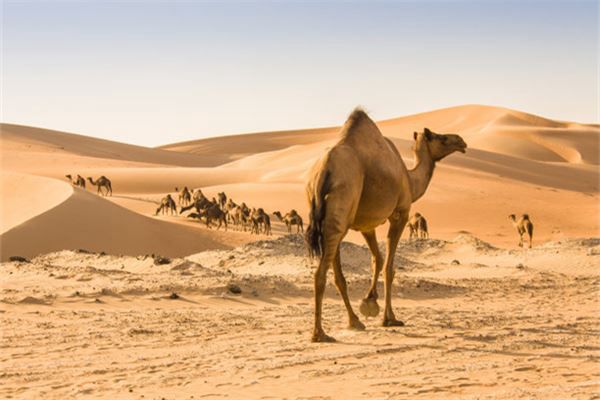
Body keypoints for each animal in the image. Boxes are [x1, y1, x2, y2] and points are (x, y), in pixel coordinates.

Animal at [304, 109, 468, 344]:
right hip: (341, 208)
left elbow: (377, 259)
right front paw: (389, 318)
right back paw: (320, 333)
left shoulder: (366, 224)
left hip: (333, 219)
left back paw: (354, 322)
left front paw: (369, 302)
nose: (461, 141)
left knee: (337, 274)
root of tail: (323, 172)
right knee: (320, 273)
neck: (410, 179)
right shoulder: (400, 213)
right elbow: (389, 267)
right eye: (442, 138)